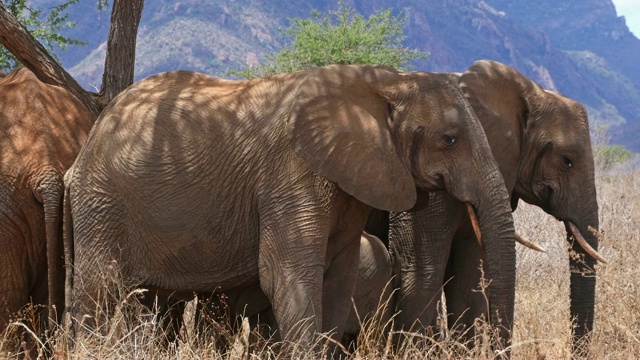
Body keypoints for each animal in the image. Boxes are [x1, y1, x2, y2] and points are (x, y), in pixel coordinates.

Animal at [63, 64, 516, 352]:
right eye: (450, 139)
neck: (385, 83)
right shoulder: (291, 174)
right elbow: (287, 273)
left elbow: (338, 278)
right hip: (101, 202)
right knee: (99, 292)